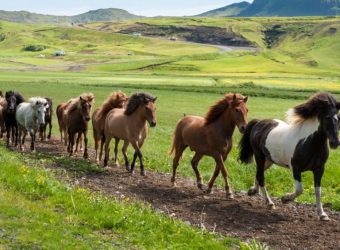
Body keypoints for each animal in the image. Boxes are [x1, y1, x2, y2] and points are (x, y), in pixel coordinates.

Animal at [239, 92, 340, 221]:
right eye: (327, 117)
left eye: (338, 118)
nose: (335, 143)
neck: (309, 142)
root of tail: (258, 123)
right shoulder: (295, 168)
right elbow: (299, 189)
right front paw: (285, 199)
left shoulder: (319, 169)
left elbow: (318, 191)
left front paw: (323, 215)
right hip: (259, 156)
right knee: (261, 177)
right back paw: (269, 203)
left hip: (269, 160)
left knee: (258, 173)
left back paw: (252, 191)